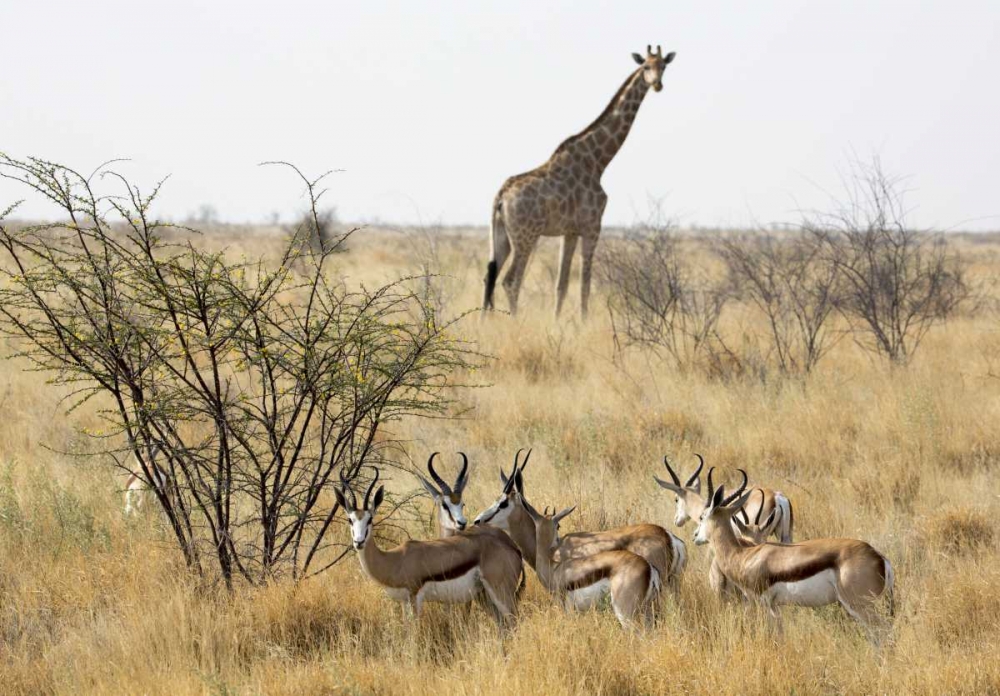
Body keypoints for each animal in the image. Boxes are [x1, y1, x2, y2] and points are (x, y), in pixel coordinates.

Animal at [483, 45, 677, 318]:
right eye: (645, 66)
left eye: (664, 66)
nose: (657, 84)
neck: (598, 162)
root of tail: (500, 197)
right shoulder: (592, 226)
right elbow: (585, 283)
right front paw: (583, 321)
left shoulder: (570, 231)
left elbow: (561, 284)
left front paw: (557, 322)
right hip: (526, 236)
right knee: (511, 281)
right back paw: (514, 321)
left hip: (501, 234)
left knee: (489, 276)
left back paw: (483, 322)